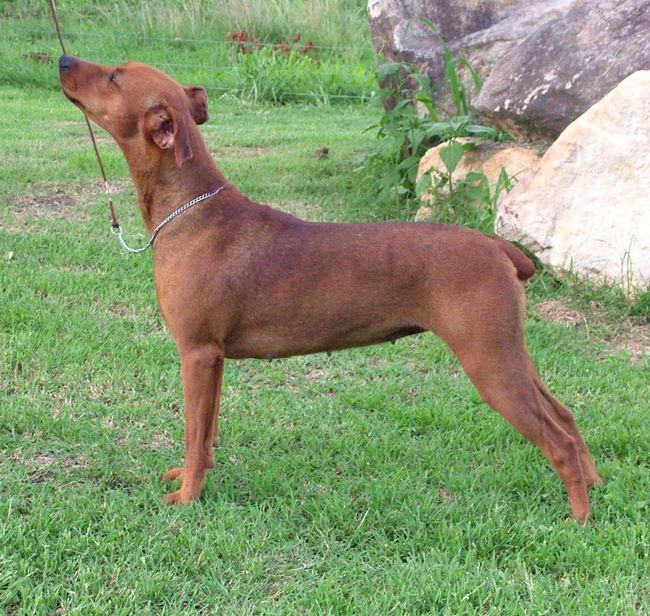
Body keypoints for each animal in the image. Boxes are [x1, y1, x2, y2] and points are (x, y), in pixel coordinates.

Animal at [58, 55, 600, 524]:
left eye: (113, 76)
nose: (63, 60)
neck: (191, 209)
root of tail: (498, 247)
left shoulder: (196, 352)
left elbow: (194, 433)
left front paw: (188, 498)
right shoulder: (213, 359)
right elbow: (207, 432)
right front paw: (195, 478)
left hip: (489, 363)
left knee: (557, 441)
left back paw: (580, 518)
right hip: (509, 353)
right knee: (567, 416)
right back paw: (596, 484)